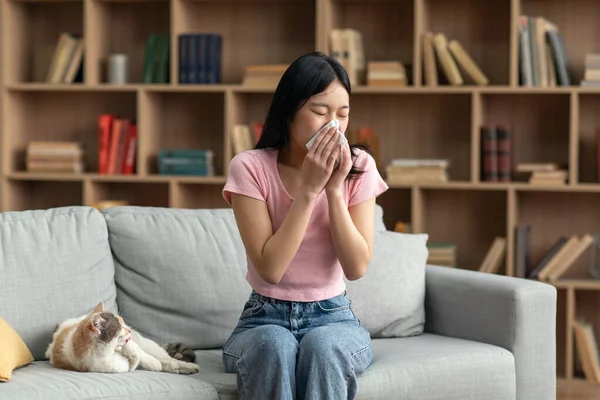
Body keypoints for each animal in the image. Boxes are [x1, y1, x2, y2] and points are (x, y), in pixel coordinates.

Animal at [45, 304, 199, 376]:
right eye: (119, 327)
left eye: (123, 321)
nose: (129, 330)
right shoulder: (115, 366)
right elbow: (134, 359)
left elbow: (140, 353)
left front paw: (152, 362)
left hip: (148, 344)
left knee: (166, 358)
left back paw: (185, 366)